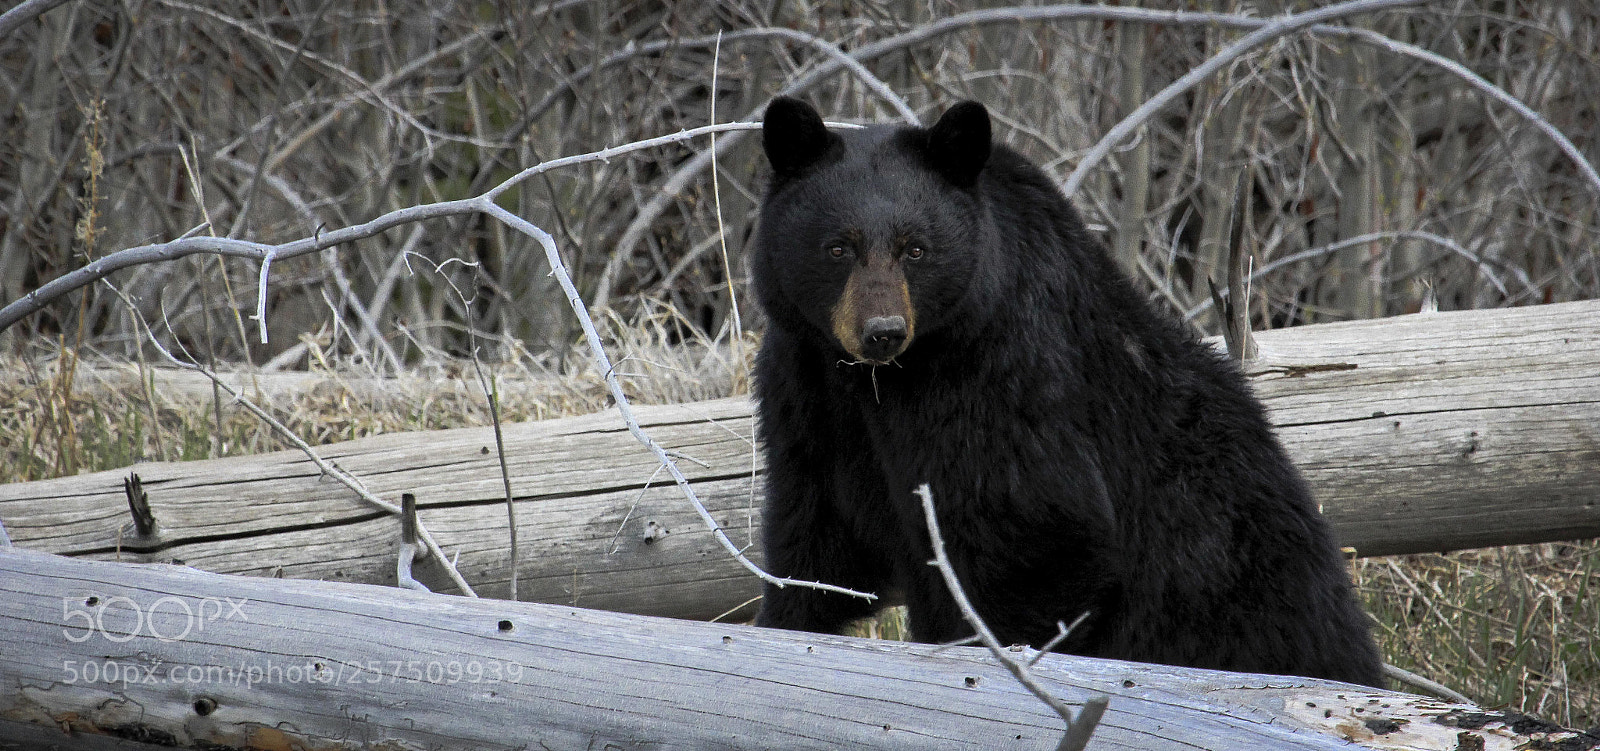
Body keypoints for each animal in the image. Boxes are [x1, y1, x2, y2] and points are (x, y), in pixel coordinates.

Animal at [748, 96, 1383, 687]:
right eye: (838, 247)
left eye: (915, 248)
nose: (882, 332)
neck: (881, 381)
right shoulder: (806, 386)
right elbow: (816, 532)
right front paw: (781, 622)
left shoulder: (1002, 377)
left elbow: (1038, 531)